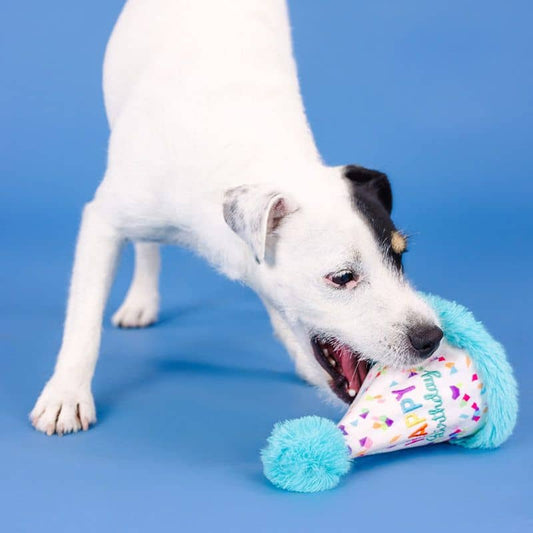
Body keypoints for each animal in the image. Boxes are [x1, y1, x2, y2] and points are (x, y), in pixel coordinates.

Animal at [31, 0, 442, 434]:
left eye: (399, 256)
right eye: (342, 277)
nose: (431, 337)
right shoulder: (103, 222)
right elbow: (83, 321)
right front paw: (66, 393)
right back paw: (141, 299)